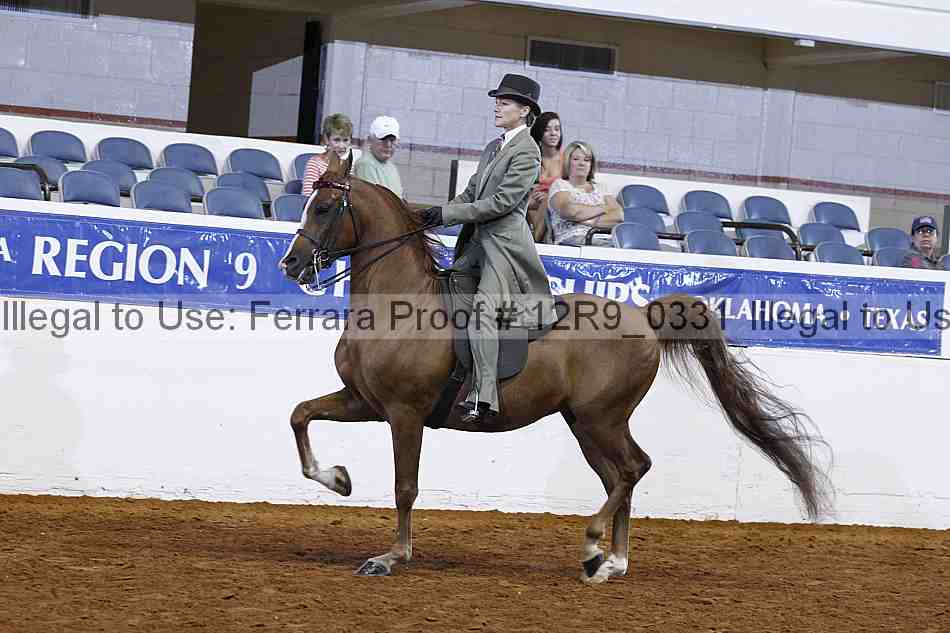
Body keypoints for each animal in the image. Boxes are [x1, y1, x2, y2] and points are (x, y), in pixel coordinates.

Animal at [278, 150, 831, 584]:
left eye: (323, 207)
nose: (291, 265)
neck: (401, 304)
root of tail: (645, 316)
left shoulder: (404, 413)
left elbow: (405, 487)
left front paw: (391, 557)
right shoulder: (364, 401)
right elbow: (300, 414)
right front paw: (337, 479)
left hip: (600, 418)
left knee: (632, 469)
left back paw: (594, 549)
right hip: (588, 423)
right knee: (620, 476)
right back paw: (613, 562)